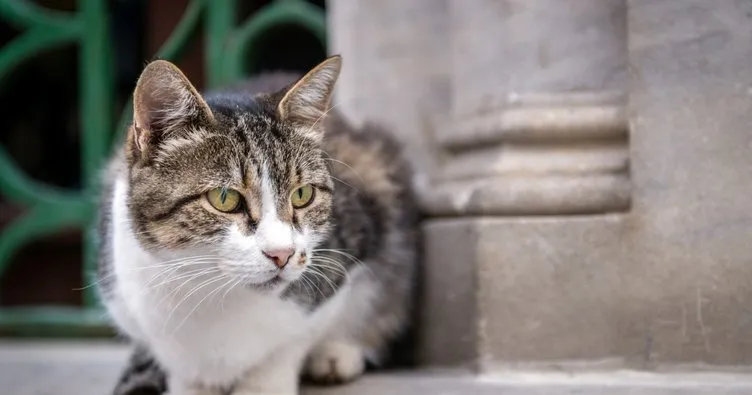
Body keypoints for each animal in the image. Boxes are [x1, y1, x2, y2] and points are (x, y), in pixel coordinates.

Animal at [94, 56, 420, 395]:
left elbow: (293, 341)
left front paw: (267, 381)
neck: (215, 297)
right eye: (224, 198)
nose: (283, 254)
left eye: (303, 194)